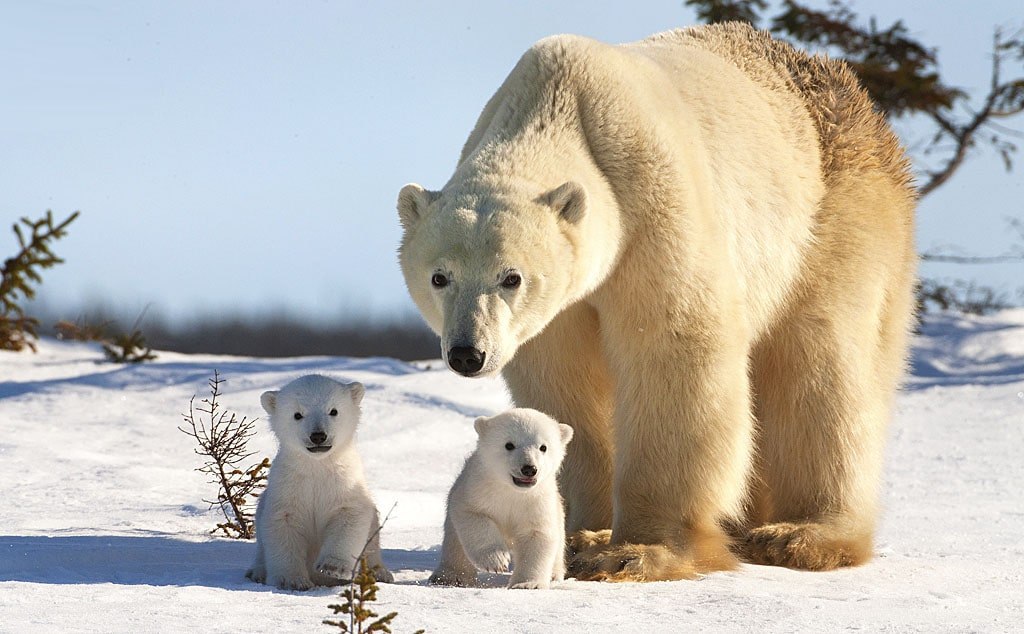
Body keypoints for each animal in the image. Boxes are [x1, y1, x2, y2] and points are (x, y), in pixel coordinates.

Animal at [245, 376, 393, 589]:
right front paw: (291, 581)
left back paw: (379, 572)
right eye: (297, 414)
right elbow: (282, 524)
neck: (317, 465)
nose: (318, 436)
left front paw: (332, 568)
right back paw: (256, 573)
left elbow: (349, 517)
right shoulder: (288, 487)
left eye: (333, 410)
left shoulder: (345, 484)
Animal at [428, 409, 573, 585]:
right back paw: (450, 576)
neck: (512, 490)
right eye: (509, 445)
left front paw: (526, 584)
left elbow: (536, 534)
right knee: (455, 544)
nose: (529, 469)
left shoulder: (537, 501)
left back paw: (553, 575)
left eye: (543, 447)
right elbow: (474, 516)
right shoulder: (478, 489)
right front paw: (496, 560)